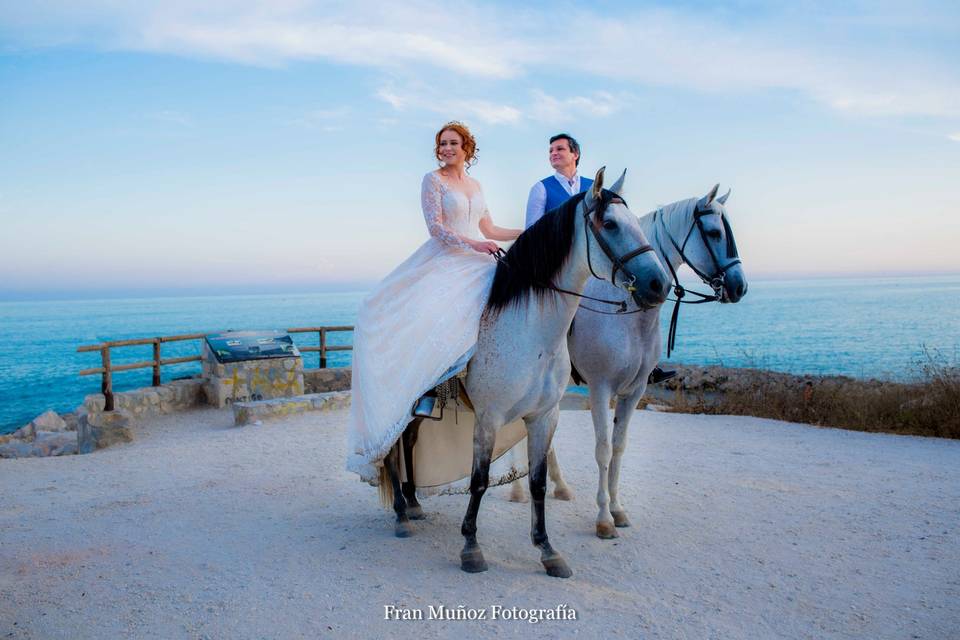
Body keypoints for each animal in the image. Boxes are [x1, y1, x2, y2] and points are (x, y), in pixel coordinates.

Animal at [458, 168, 668, 576]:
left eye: (639, 224)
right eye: (610, 224)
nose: (659, 284)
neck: (528, 328)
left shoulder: (546, 414)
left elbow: (539, 480)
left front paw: (547, 549)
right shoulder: (490, 417)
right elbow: (479, 480)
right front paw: (471, 547)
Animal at [510, 182, 752, 536]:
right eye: (714, 232)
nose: (739, 286)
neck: (630, 314)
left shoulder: (634, 392)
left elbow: (620, 447)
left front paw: (618, 509)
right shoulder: (600, 390)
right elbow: (603, 449)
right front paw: (603, 518)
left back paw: (560, 485)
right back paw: (518, 490)